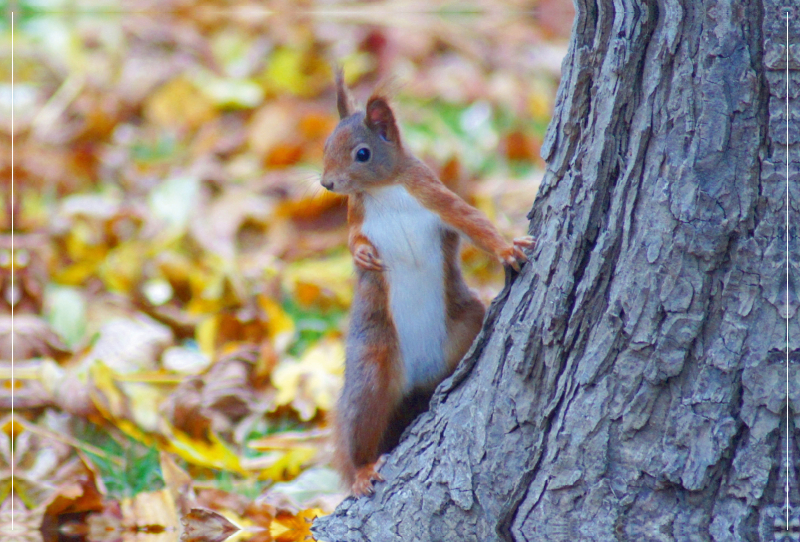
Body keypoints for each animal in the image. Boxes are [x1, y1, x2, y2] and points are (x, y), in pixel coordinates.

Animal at [322, 70, 536, 500]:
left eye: (362, 153)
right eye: (325, 145)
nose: (327, 183)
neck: (384, 189)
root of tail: (417, 380)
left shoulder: (434, 195)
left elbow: (473, 221)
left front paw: (507, 249)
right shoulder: (356, 213)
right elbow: (352, 239)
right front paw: (362, 257)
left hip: (465, 323)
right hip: (373, 366)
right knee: (361, 425)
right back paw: (363, 470)